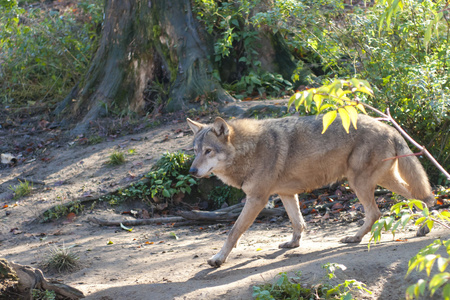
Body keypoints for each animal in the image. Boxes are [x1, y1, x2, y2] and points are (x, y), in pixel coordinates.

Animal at [185, 114, 432, 268]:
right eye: (195, 151)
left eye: (208, 151)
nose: (192, 171)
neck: (248, 150)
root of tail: (390, 127)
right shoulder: (285, 194)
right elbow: (298, 222)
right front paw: (293, 244)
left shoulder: (257, 199)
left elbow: (233, 231)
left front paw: (218, 259)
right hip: (379, 180)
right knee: (417, 198)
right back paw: (421, 227)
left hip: (360, 182)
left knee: (381, 211)